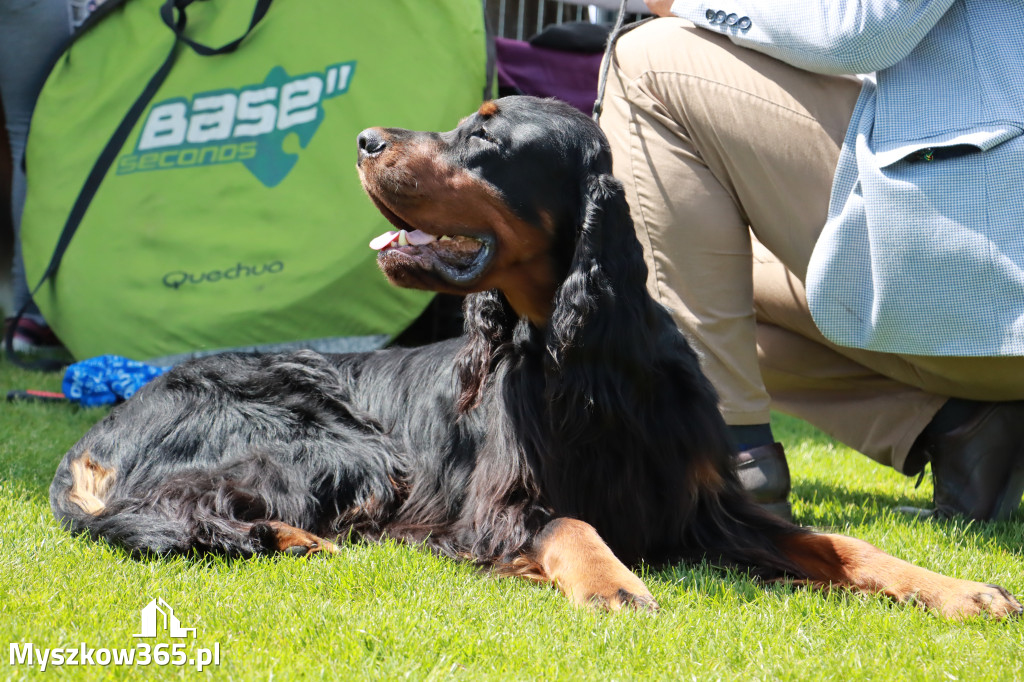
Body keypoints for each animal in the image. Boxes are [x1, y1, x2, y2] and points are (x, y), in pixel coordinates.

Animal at [54, 96, 1024, 622]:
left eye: (485, 140)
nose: (364, 140)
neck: (582, 360)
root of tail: (113, 417)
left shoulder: (703, 509)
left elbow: (843, 541)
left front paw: (956, 588)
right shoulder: (494, 510)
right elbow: (572, 524)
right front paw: (610, 584)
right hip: (336, 441)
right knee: (163, 508)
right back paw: (291, 539)